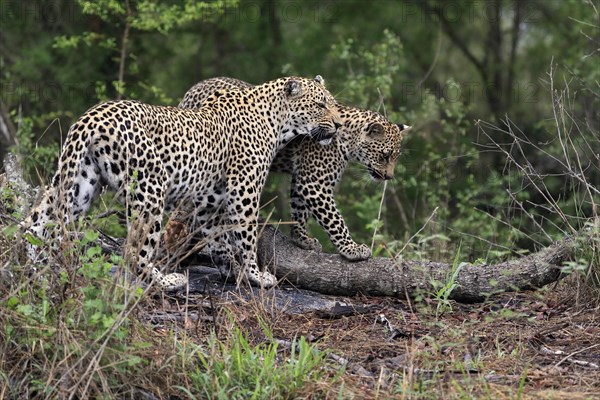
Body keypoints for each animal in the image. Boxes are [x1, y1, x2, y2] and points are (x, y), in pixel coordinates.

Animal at [21, 76, 342, 290]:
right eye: (320, 105)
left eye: (334, 104)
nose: (338, 125)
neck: (277, 122)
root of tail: (90, 117)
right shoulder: (244, 190)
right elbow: (246, 235)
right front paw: (256, 274)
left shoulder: (210, 198)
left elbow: (218, 236)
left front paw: (232, 270)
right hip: (150, 188)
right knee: (134, 251)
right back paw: (166, 281)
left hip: (80, 182)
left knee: (36, 222)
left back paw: (24, 264)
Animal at [178, 76, 410, 260]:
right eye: (385, 156)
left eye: (395, 157)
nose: (389, 176)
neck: (348, 139)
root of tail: (193, 89)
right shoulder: (315, 184)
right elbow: (334, 220)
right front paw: (351, 249)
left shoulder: (303, 180)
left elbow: (299, 211)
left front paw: (302, 239)